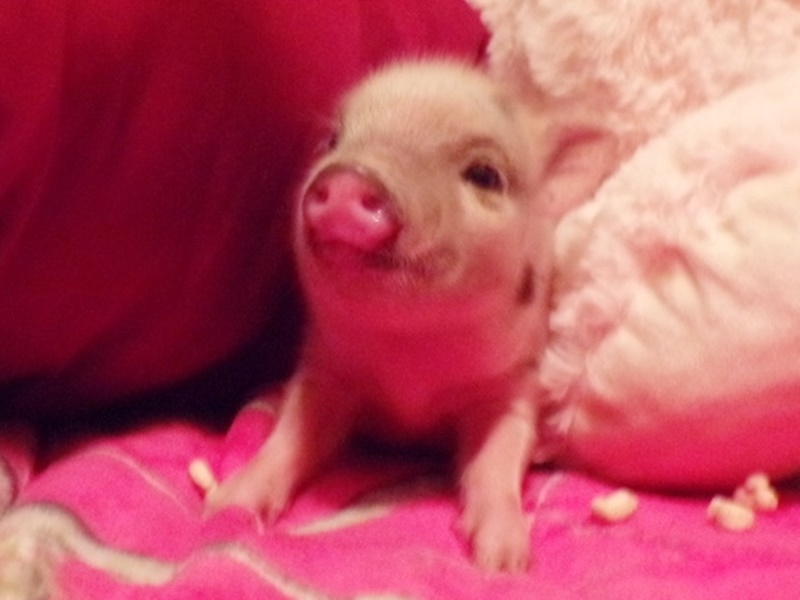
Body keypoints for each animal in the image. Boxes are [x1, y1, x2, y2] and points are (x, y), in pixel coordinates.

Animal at [205, 59, 614, 573]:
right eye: (332, 141)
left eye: (485, 174)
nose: (349, 179)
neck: (411, 365)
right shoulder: (325, 373)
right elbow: (290, 439)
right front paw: (223, 505)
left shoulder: (513, 386)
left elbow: (496, 461)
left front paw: (503, 560)